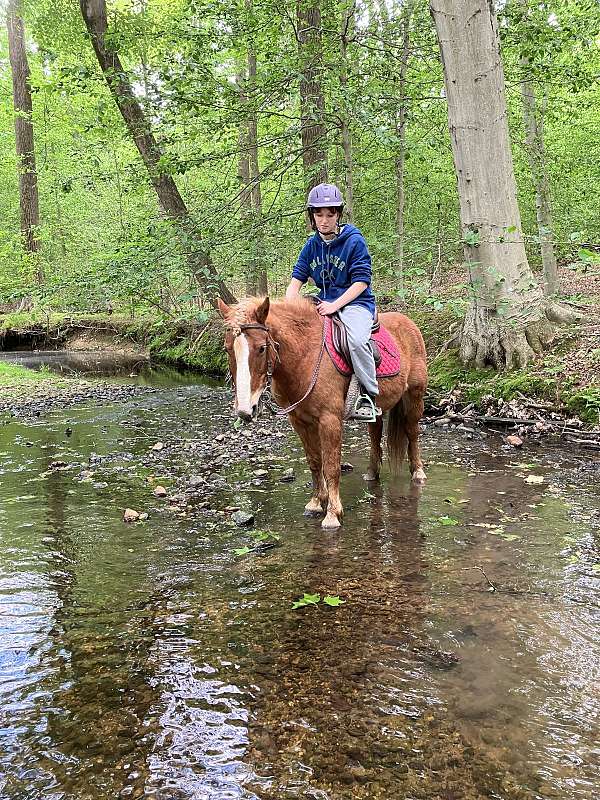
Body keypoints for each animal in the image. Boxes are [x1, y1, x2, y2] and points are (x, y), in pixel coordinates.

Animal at [217, 296, 428, 529]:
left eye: (262, 348)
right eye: (227, 349)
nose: (246, 410)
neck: (304, 358)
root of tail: (408, 322)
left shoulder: (330, 420)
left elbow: (332, 466)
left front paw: (333, 514)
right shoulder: (300, 421)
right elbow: (315, 461)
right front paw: (317, 502)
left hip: (415, 395)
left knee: (412, 432)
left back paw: (418, 472)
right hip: (378, 408)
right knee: (375, 434)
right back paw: (372, 473)